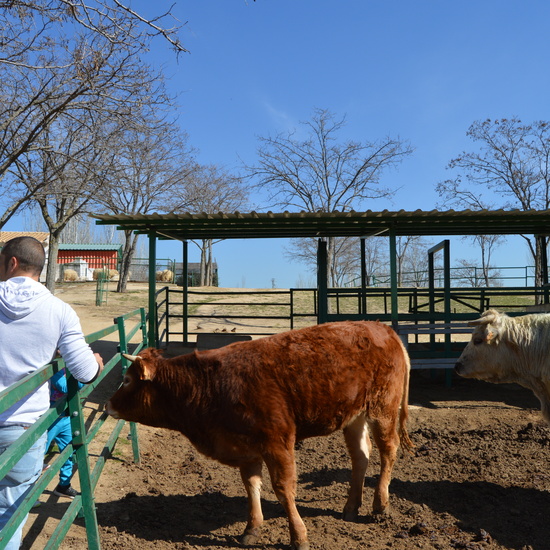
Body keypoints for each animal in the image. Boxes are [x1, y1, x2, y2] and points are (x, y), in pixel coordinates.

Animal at [106, 324, 414, 550]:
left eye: (128, 380)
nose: (108, 405)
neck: (210, 385)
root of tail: (382, 327)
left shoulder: (278, 442)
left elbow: (283, 488)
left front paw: (298, 536)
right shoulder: (245, 448)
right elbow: (252, 486)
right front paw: (252, 528)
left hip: (383, 409)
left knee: (388, 451)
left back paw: (381, 505)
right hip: (354, 416)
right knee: (360, 457)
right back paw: (351, 507)